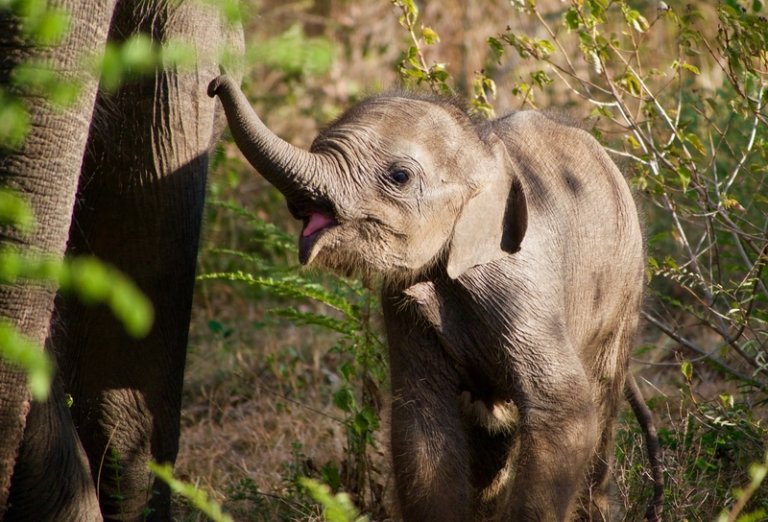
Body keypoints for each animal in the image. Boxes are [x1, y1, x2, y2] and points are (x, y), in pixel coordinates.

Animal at [210, 74, 648, 520]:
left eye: (400, 176)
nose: (216, 83)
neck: (483, 154)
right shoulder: (403, 305)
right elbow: (422, 423)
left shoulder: (525, 289)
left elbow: (563, 405)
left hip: (625, 292)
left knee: (602, 399)